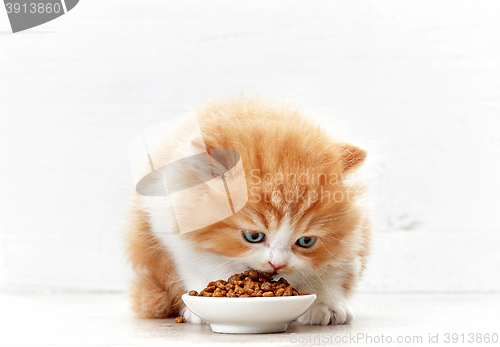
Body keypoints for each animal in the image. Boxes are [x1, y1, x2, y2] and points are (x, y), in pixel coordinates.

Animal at [123, 95, 370, 326]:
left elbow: (333, 271)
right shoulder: (172, 235)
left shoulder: (352, 242)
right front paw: (203, 306)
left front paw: (326, 305)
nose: (277, 265)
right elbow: (200, 265)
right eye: (253, 236)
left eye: (305, 241)